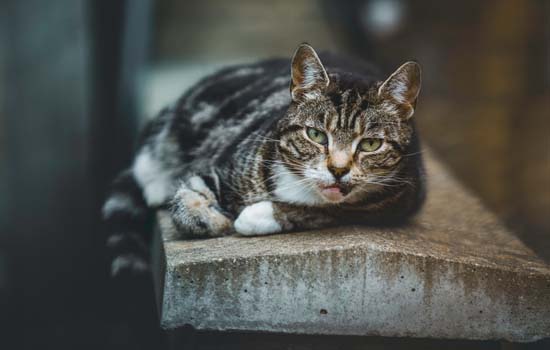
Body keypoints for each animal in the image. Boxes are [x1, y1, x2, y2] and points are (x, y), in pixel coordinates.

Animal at [102, 43, 426, 276]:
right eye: (316, 135)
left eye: (371, 144)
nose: (338, 169)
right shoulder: (222, 166)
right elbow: (185, 202)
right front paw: (212, 219)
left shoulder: (400, 198)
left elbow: (333, 211)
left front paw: (255, 216)